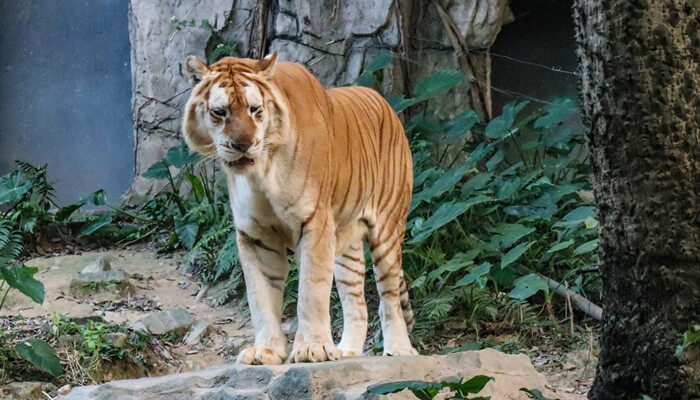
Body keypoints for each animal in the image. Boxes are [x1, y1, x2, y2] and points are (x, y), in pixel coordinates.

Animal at [180, 51, 416, 364]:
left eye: (254, 109)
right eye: (220, 112)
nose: (243, 144)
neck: (260, 174)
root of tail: (386, 103)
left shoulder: (315, 221)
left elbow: (311, 290)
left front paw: (311, 348)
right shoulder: (255, 235)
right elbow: (261, 297)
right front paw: (265, 351)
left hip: (388, 229)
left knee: (389, 295)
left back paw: (398, 349)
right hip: (346, 247)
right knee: (356, 301)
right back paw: (347, 351)